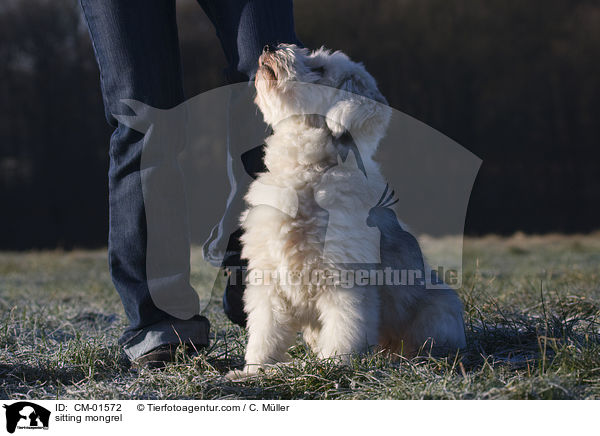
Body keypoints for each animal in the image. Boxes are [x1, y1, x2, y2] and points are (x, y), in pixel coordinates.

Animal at [233, 45, 464, 378]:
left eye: (319, 69)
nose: (269, 47)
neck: (307, 173)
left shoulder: (345, 281)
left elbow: (345, 329)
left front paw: (334, 365)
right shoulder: (268, 278)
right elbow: (265, 333)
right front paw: (253, 371)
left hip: (437, 310)